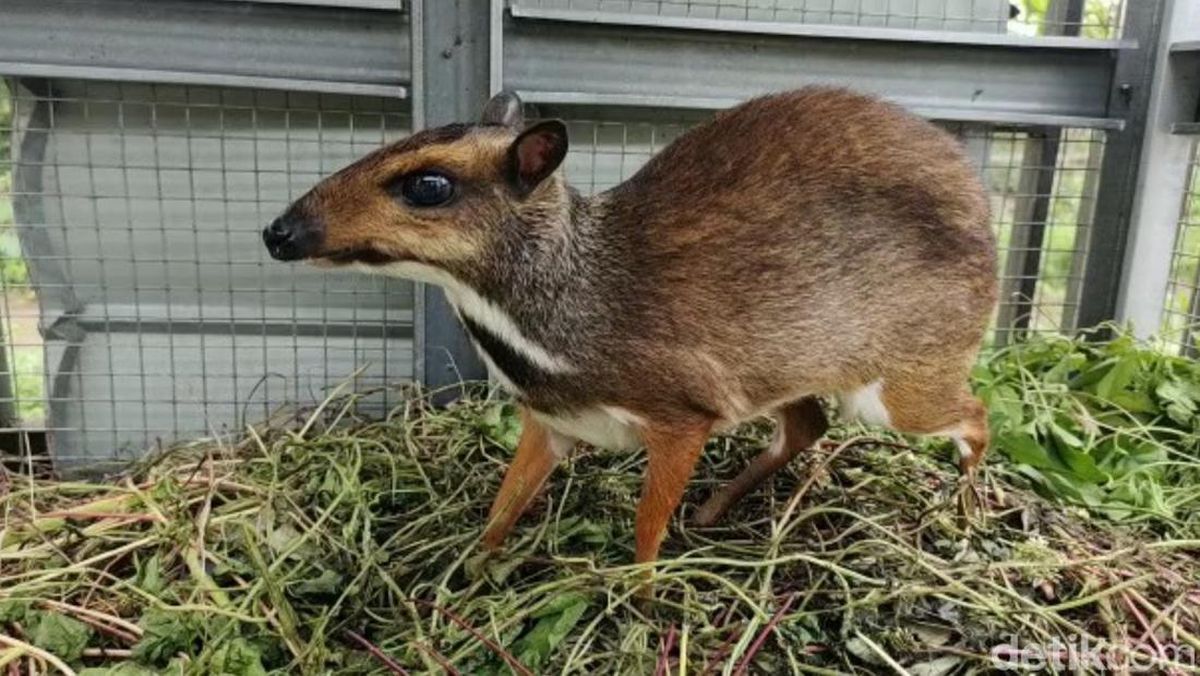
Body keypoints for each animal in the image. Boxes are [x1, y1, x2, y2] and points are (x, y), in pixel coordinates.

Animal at [267, 84, 998, 571]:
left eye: (427, 185)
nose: (279, 231)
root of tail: (985, 214)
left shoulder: (682, 413)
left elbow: (646, 530)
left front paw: (640, 602)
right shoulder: (551, 422)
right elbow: (503, 508)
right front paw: (465, 579)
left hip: (901, 385)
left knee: (976, 414)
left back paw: (966, 516)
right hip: (786, 372)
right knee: (808, 424)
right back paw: (712, 511)